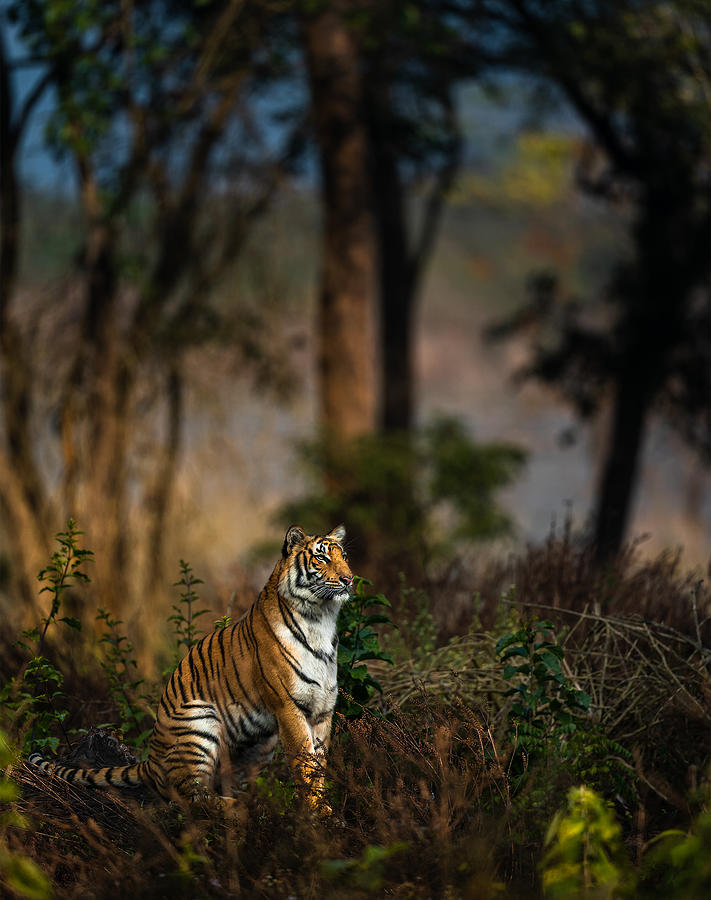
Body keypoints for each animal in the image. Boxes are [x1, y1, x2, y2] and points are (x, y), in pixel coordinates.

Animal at [29, 524, 354, 812]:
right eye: (322, 558)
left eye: (344, 557)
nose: (349, 579)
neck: (322, 619)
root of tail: (151, 761)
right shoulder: (289, 706)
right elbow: (305, 766)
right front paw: (315, 815)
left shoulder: (323, 709)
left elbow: (319, 763)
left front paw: (324, 810)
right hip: (200, 721)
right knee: (187, 796)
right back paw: (234, 808)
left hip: (260, 743)